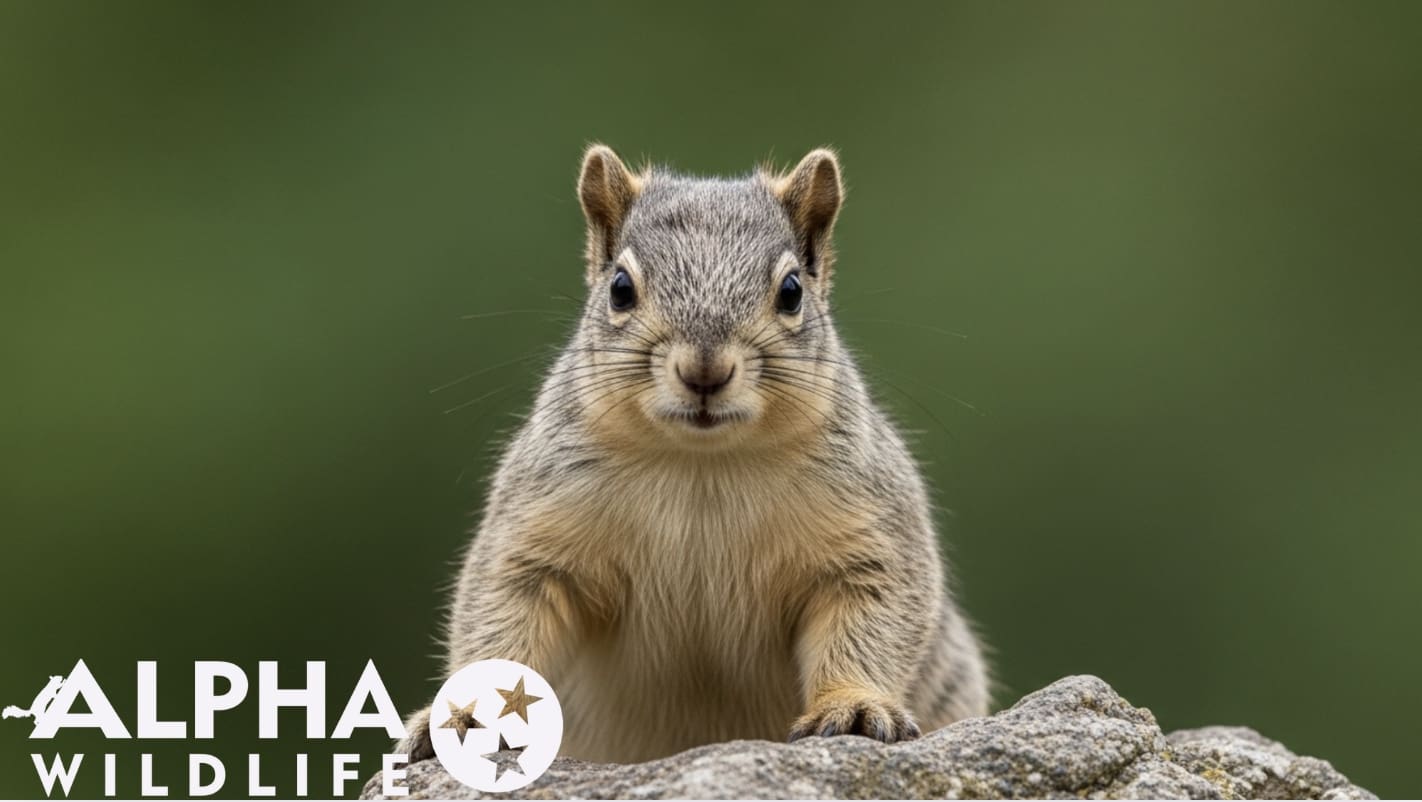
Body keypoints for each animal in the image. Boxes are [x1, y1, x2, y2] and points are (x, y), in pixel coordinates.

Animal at [399, 145, 989, 763]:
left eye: (792, 291)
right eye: (620, 288)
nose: (705, 371)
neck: (701, 464)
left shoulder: (867, 525)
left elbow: (876, 610)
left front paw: (851, 705)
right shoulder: (540, 522)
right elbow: (502, 610)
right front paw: (464, 716)